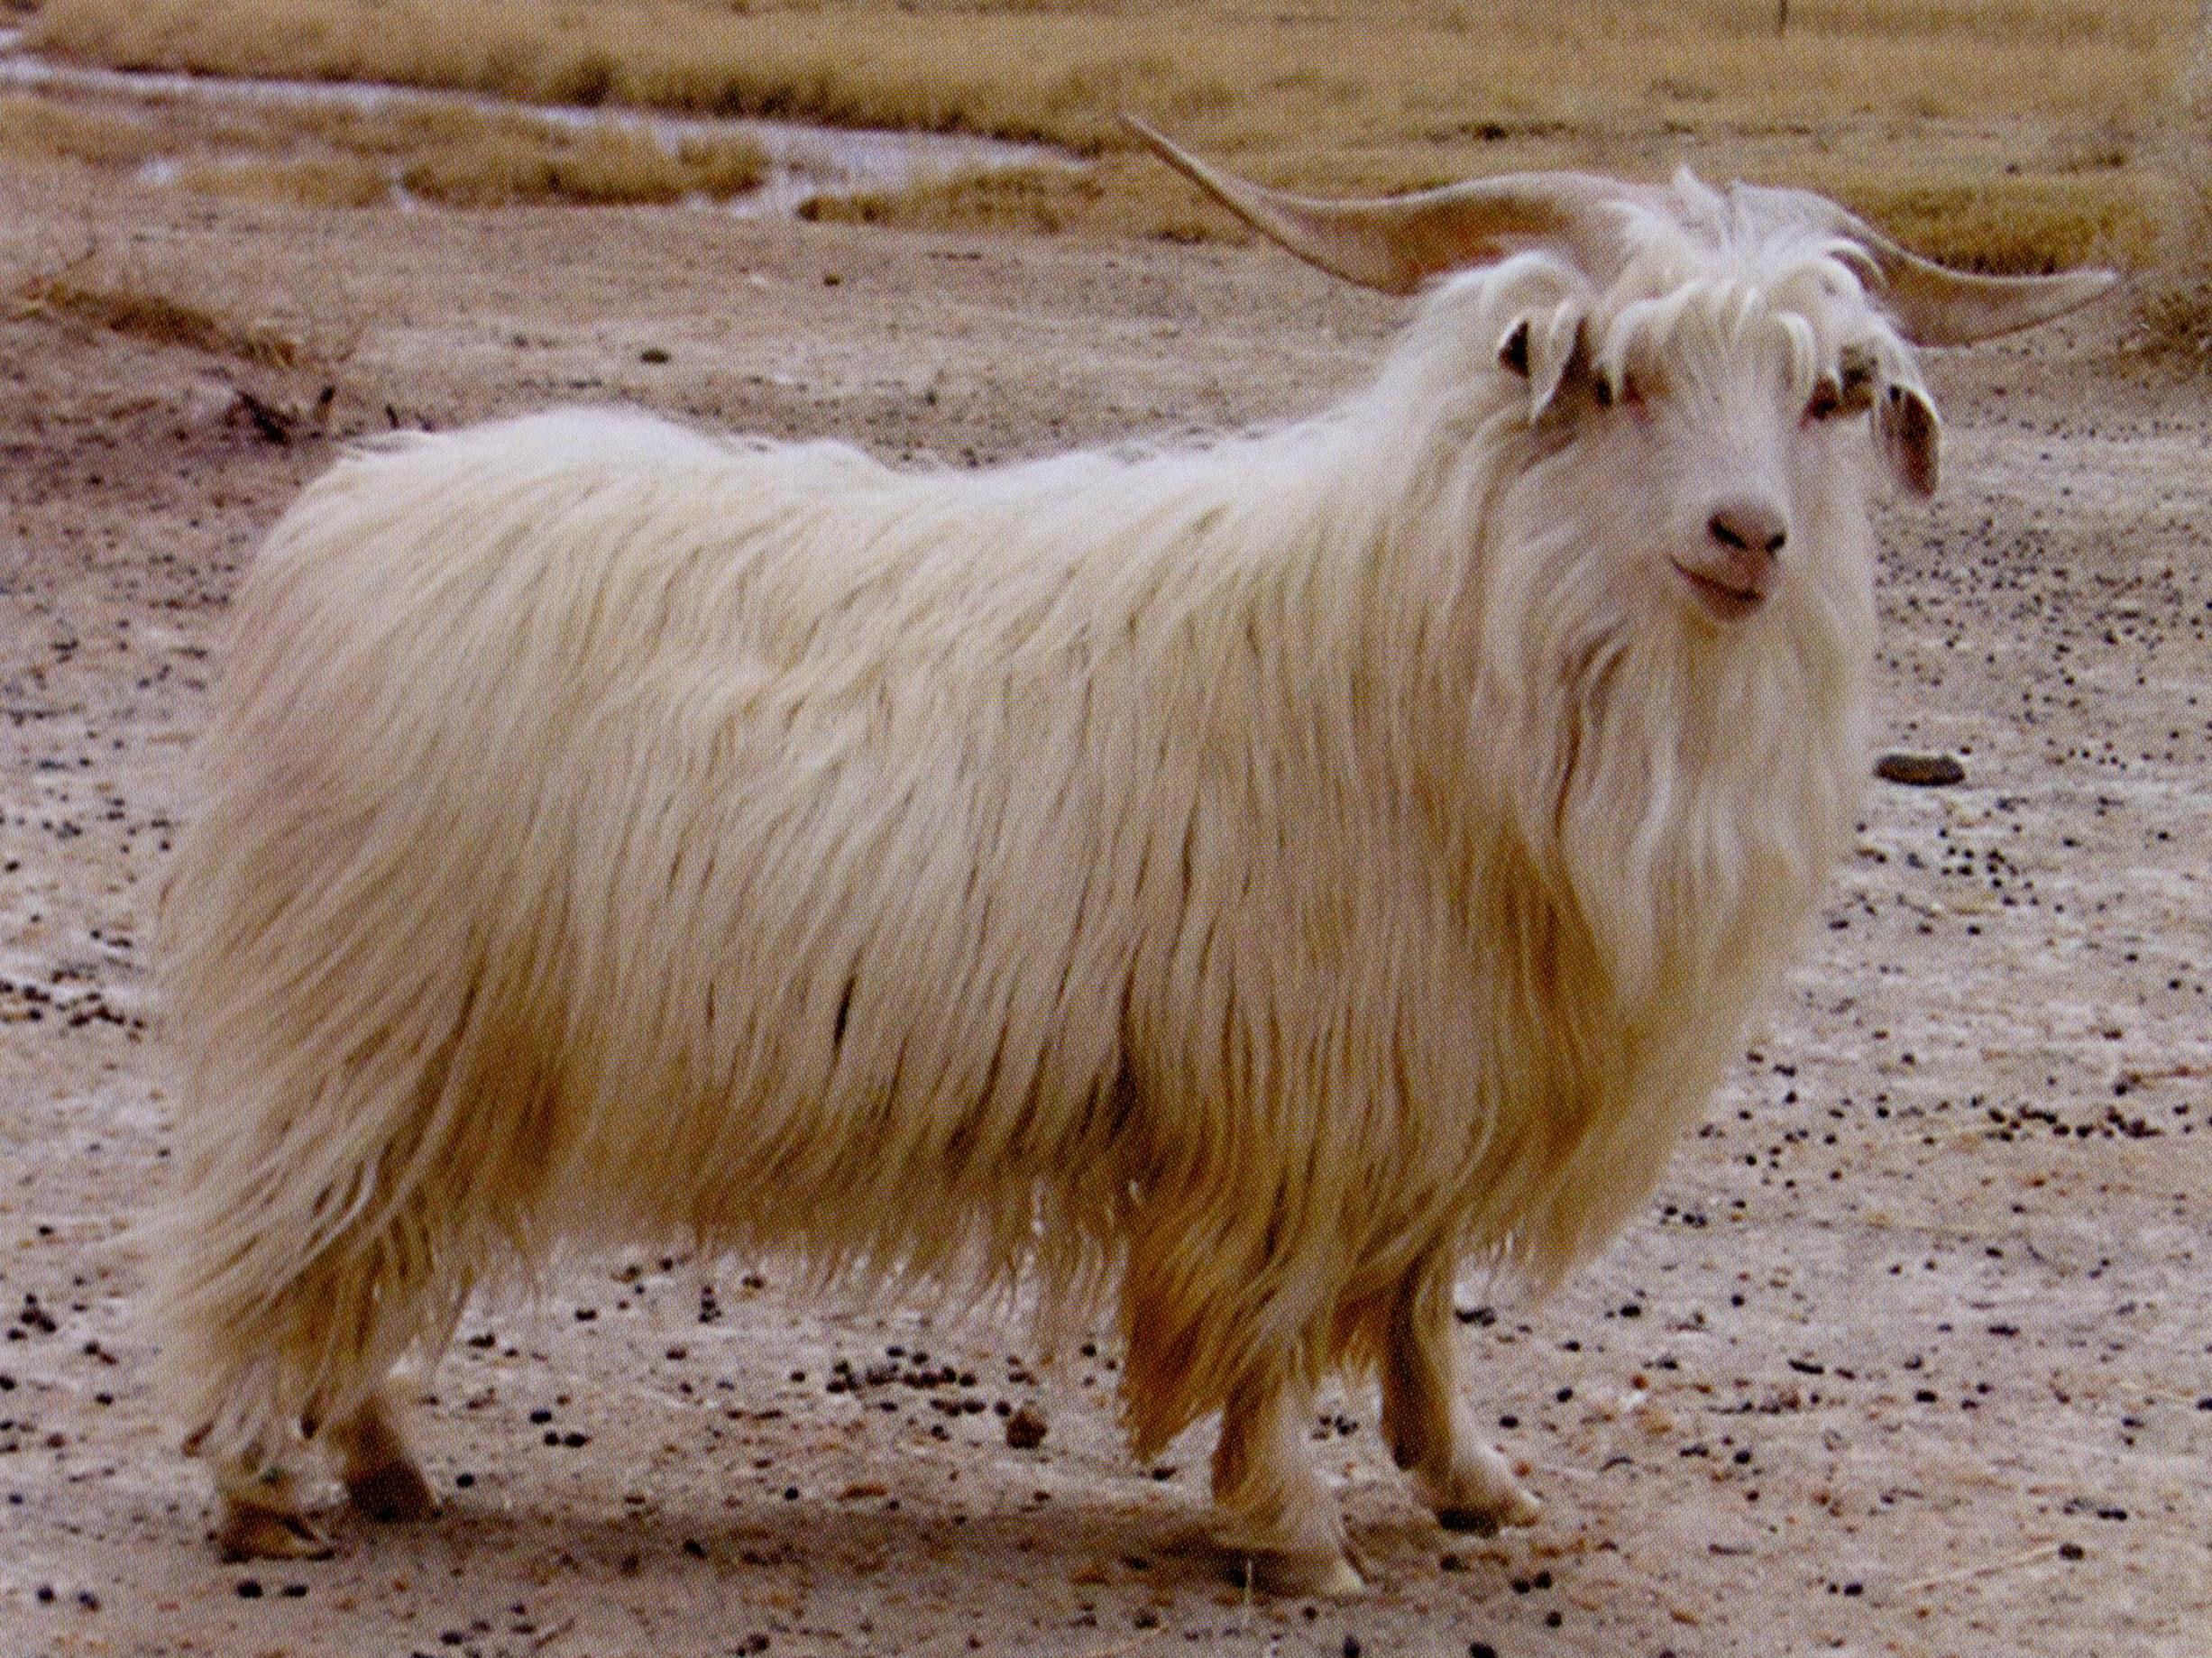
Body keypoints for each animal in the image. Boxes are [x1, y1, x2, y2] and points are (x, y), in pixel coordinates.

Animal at [151, 122, 2114, 1595]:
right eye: (1622, 377)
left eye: (1831, 392)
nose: (1745, 536)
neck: (1435, 625)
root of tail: (338, 522)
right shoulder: (1293, 1093)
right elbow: (1271, 1313)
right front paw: (1292, 1523)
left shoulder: (1430, 1070)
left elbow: (1416, 1297)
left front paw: (1468, 1474)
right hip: (371, 1011)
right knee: (284, 1226)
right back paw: (262, 1486)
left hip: (455, 1044)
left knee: (363, 1241)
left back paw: (382, 1459)